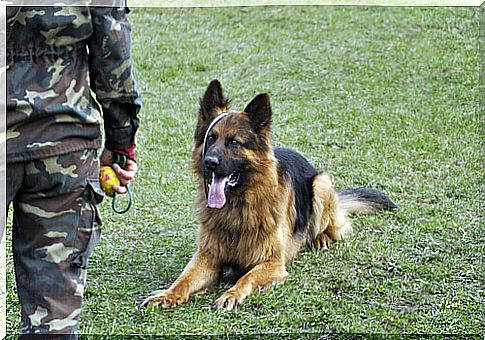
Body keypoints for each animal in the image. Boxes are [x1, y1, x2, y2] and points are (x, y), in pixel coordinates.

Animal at [143, 79, 394, 310]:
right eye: (211, 138)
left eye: (234, 142)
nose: (209, 163)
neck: (238, 206)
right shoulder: (208, 256)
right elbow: (184, 279)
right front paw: (167, 294)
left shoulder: (272, 263)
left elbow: (247, 277)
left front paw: (231, 294)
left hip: (321, 184)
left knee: (334, 227)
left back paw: (320, 238)